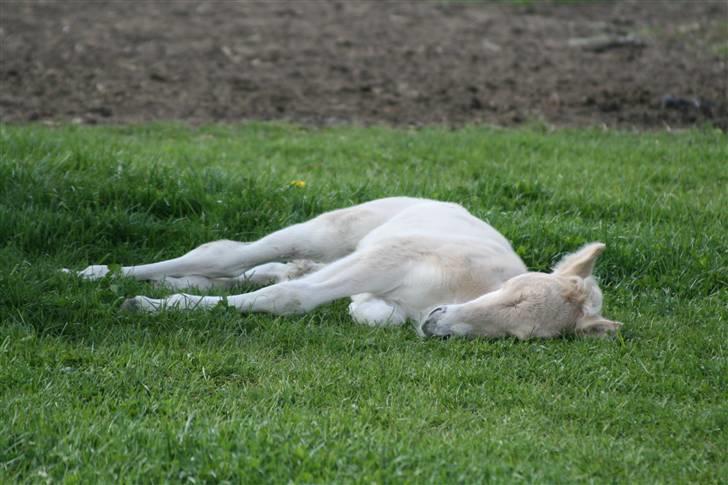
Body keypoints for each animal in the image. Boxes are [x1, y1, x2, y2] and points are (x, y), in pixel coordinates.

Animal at [68, 196, 624, 336]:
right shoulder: (386, 259)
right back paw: (93, 277)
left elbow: (367, 310)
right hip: (335, 231)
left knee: (262, 272)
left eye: (520, 334)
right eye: (514, 294)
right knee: (225, 254)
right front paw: (143, 305)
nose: (435, 326)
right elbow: (288, 300)